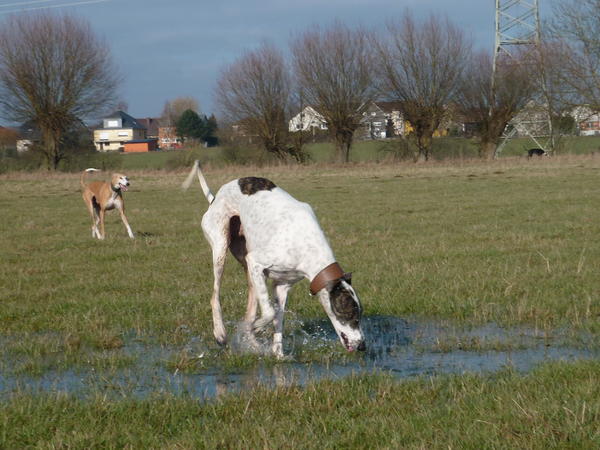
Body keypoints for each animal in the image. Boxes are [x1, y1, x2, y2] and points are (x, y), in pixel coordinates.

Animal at [183, 160, 364, 356]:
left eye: (360, 313)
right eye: (350, 313)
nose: (363, 346)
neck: (309, 246)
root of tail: (214, 198)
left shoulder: (282, 286)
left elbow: (278, 319)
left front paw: (278, 354)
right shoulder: (256, 262)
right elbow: (269, 313)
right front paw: (257, 327)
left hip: (248, 268)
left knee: (250, 309)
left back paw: (251, 342)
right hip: (221, 247)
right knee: (215, 295)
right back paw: (221, 333)